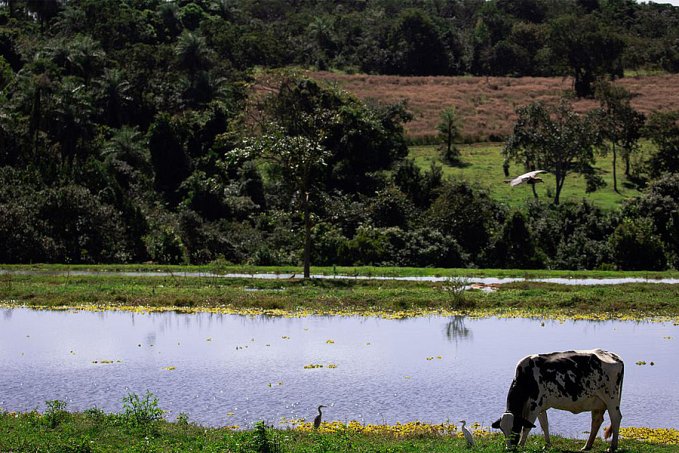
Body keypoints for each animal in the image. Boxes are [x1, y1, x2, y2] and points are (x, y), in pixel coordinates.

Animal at [492, 350, 624, 448]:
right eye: (502, 430)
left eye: (515, 428)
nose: (509, 448)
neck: (526, 377)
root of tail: (614, 356)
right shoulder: (540, 406)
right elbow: (544, 424)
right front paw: (547, 445)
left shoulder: (534, 405)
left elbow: (527, 427)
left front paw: (521, 445)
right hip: (597, 402)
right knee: (596, 421)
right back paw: (587, 446)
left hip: (611, 397)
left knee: (616, 417)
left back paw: (612, 447)